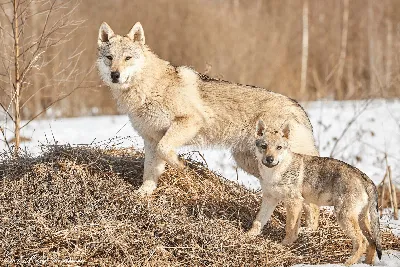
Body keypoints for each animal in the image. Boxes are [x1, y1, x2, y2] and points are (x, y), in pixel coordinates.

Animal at [97, 22, 322, 228]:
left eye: (128, 58)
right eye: (110, 58)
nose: (115, 75)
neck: (148, 88)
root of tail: (297, 106)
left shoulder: (188, 122)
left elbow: (166, 150)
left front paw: (181, 165)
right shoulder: (151, 140)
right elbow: (150, 171)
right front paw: (143, 194)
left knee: (310, 202)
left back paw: (309, 230)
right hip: (254, 164)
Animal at [252, 120, 382, 266]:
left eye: (279, 147)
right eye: (264, 146)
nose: (270, 159)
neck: (274, 174)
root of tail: (365, 177)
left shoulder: (294, 202)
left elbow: (289, 228)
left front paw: (283, 245)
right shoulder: (270, 199)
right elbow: (258, 222)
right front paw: (248, 236)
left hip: (344, 217)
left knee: (362, 242)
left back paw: (347, 263)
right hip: (360, 219)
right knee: (372, 242)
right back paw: (367, 263)